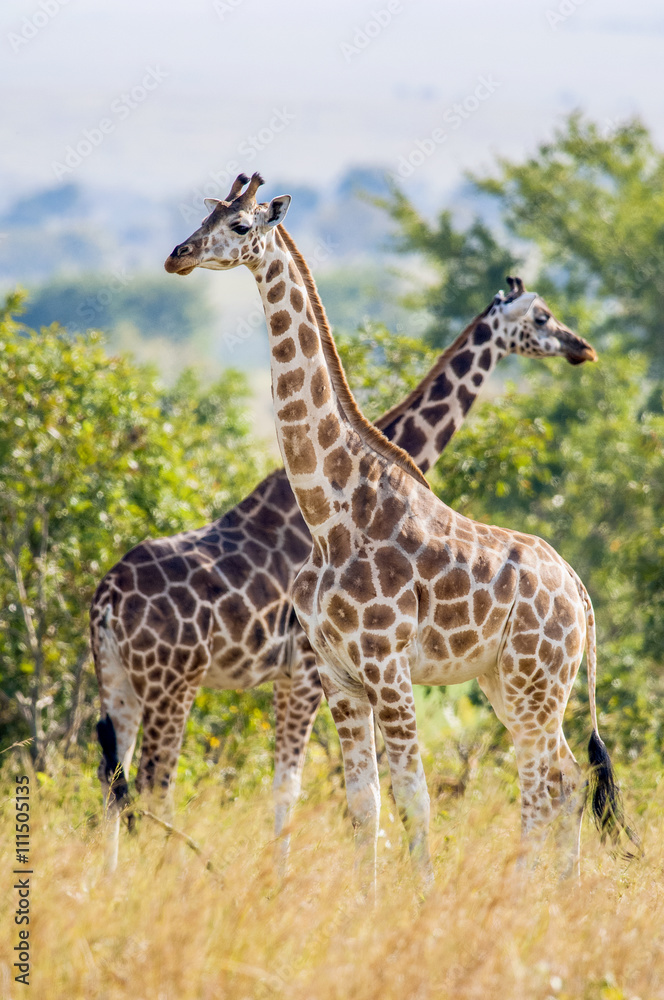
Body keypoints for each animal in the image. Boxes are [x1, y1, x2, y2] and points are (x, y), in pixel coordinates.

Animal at [92, 172, 596, 872]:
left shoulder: (373, 668)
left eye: (240, 224)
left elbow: (400, 798)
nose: (178, 255)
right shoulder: (332, 674)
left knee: (553, 780)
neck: (331, 512)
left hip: (532, 679)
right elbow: (361, 803)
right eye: (210, 215)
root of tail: (578, 589)